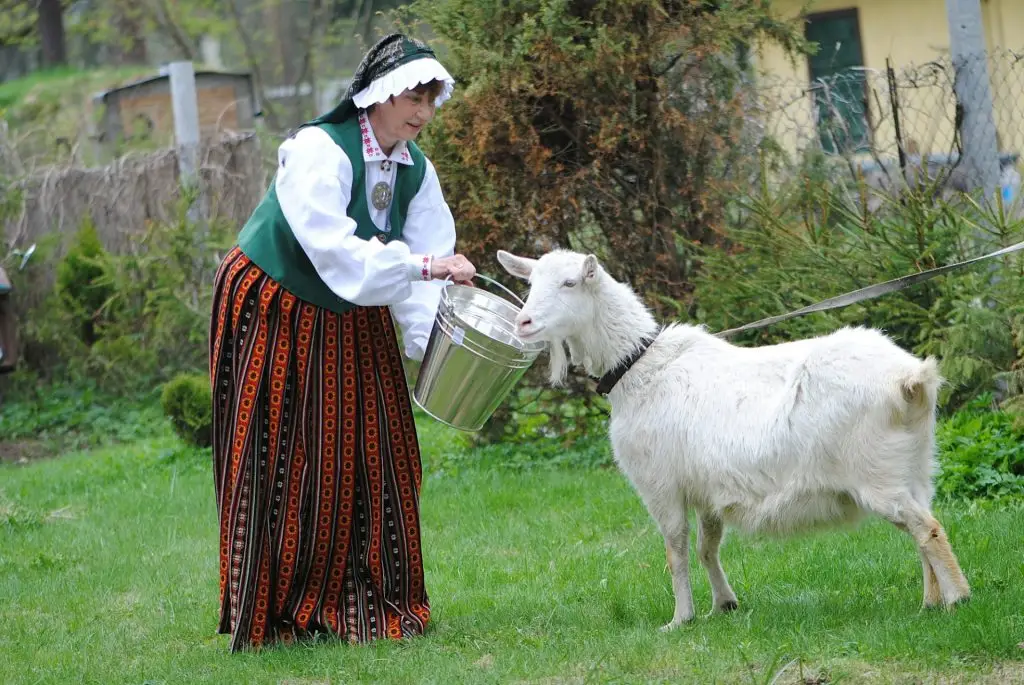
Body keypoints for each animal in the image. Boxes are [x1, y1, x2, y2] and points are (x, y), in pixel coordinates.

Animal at [496, 247, 971, 631]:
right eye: (531, 282)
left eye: (570, 282)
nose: (523, 321)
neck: (639, 367)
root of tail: (910, 380)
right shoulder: (708, 490)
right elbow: (707, 547)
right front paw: (723, 605)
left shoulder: (660, 485)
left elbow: (675, 550)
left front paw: (679, 620)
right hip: (913, 466)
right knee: (919, 525)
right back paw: (929, 602)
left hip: (877, 474)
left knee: (927, 529)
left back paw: (958, 599)